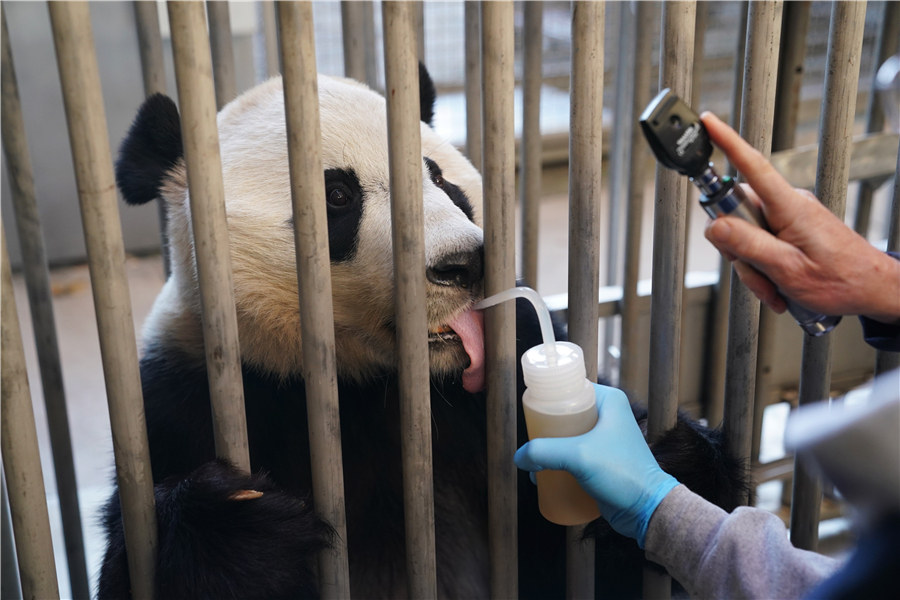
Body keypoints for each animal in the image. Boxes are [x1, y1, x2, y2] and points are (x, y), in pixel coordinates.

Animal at [99, 66, 747, 599]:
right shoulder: (188, 396)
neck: (366, 381)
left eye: (439, 178)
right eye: (338, 195)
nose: (465, 264)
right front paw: (242, 530)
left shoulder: (501, 378)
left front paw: (665, 464)